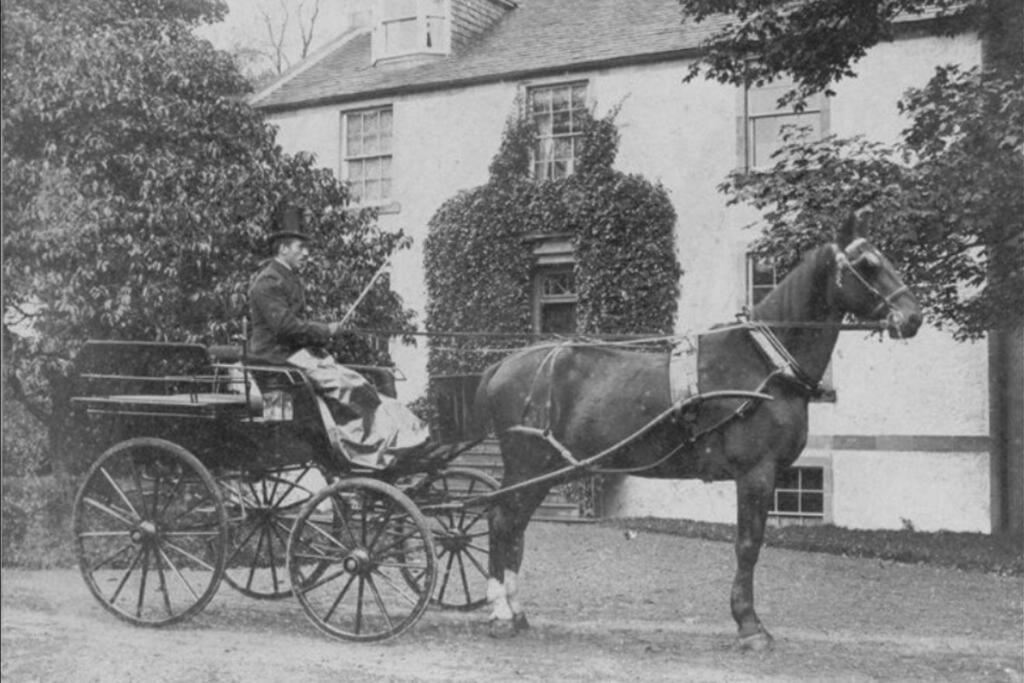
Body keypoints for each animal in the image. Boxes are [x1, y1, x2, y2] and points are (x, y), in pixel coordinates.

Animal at [475, 210, 925, 651]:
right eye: (867, 264)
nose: (913, 316)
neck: (765, 365)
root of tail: (503, 365)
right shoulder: (756, 473)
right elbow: (748, 546)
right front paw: (749, 625)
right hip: (529, 465)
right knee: (502, 520)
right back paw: (500, 612)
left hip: (547, 471)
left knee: (514, 526)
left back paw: (515, 610)